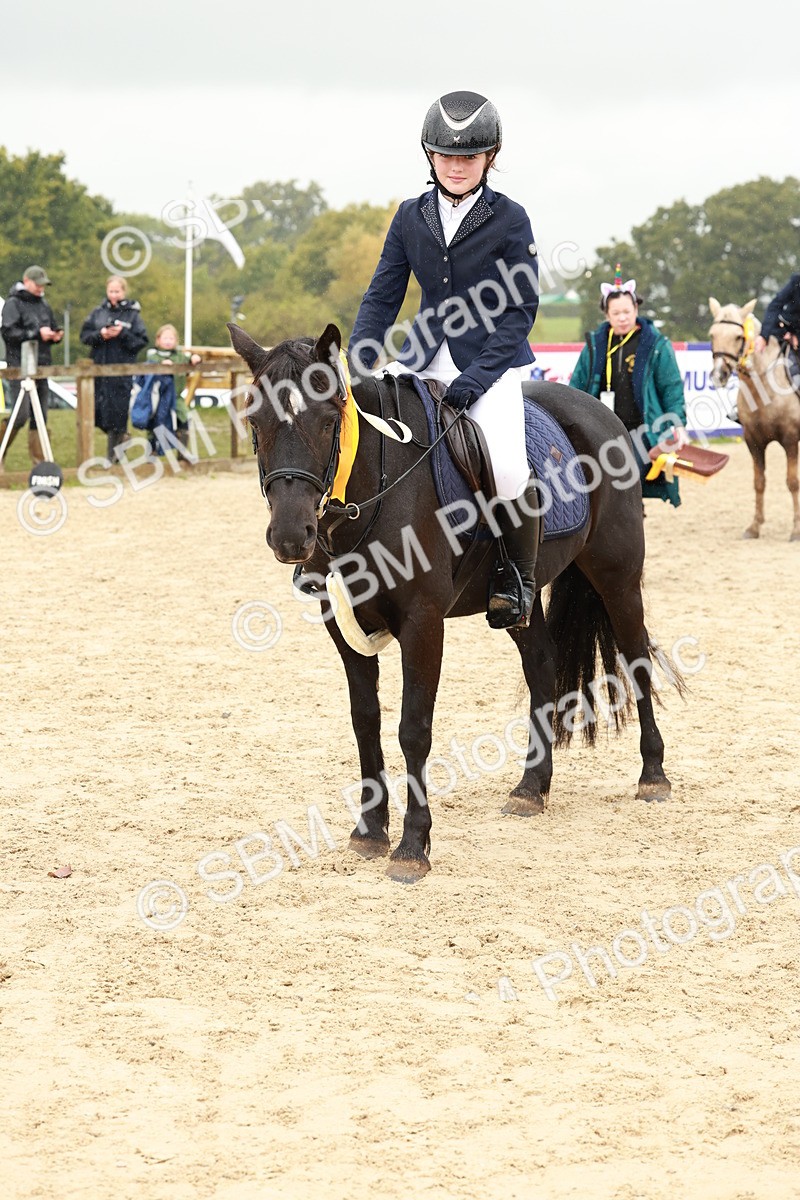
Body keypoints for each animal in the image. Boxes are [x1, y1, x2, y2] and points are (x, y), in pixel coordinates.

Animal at [229, 321, 682, 882]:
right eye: (255, 419)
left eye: (330, 418)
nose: (292, 537)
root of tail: (598, 409)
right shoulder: (344, 625)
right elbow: (365, 721)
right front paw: (369, 831)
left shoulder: (423, 624)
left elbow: (413, 729)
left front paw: (412, 847)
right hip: (519, 603)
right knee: (542, 666)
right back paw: (531, 788)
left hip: (617, 576)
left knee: (637, 658)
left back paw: (653, 775)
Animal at [708, 297, 800, 541]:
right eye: (712, 335)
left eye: (738, 337)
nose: (719, 375)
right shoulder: (753, 441)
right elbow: (759, 483)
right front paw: (754, 526)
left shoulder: (790, 439)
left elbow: (792, 482)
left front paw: (796, 529)